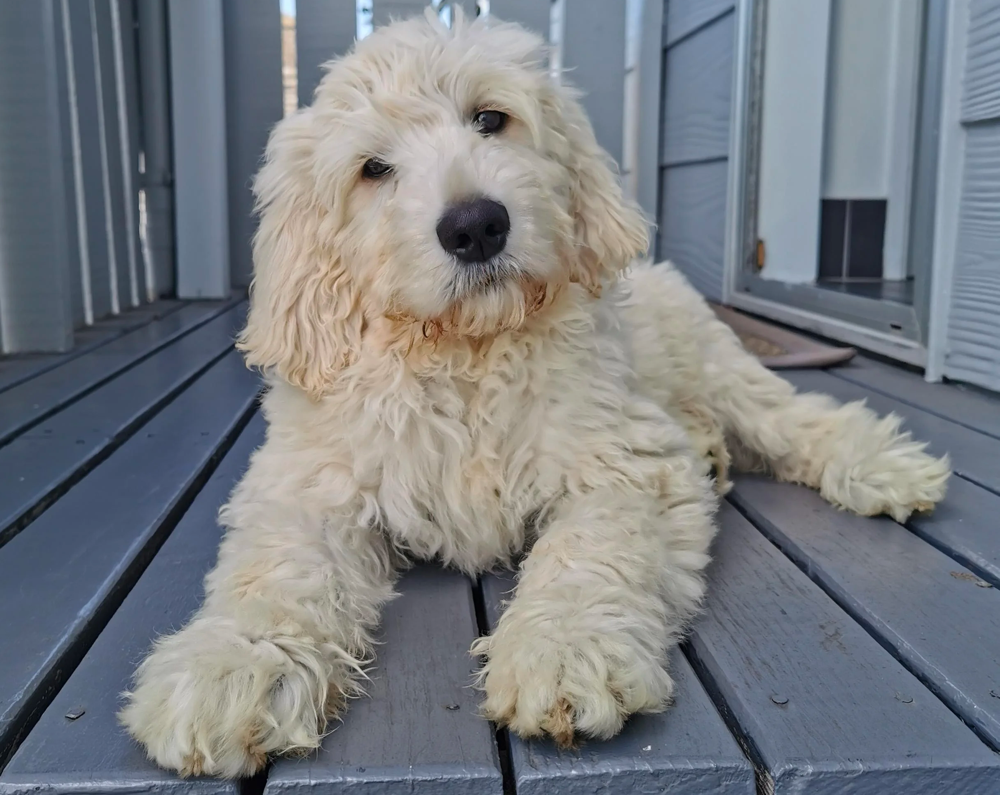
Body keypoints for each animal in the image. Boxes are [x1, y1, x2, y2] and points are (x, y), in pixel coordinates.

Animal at [119, 6, 952, 776]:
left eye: (491, 119)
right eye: (373, 170)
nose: (475, 225)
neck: (464, 351)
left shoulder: (624, 463)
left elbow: (588, 551)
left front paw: (566, 650)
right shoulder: (310, 484)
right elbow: (279, 569)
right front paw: (232, 665)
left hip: (721, 366)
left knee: (800, 418)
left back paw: (886, 467)